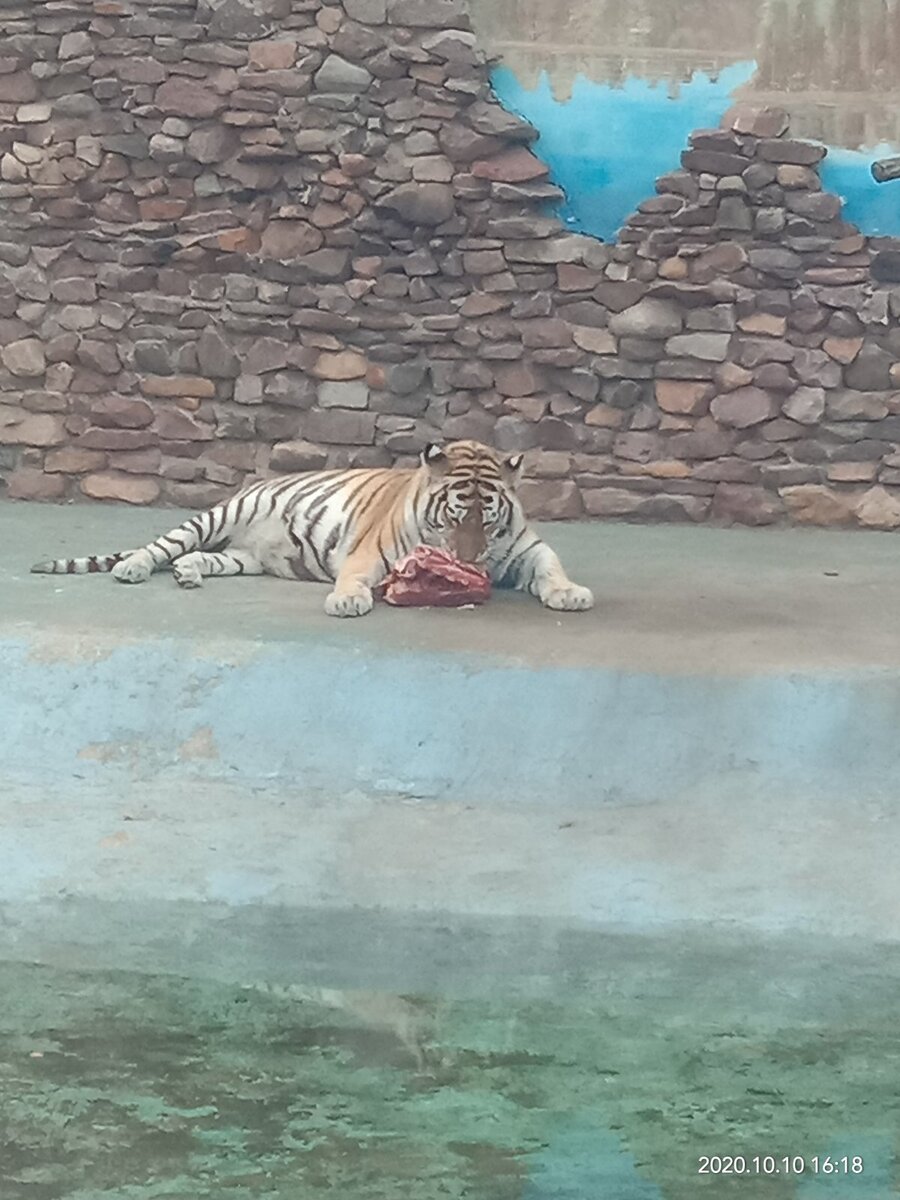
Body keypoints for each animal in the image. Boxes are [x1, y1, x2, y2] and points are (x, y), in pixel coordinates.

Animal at [31, 439, 600, 619]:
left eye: (489, 518)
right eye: (455, 518)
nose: (468, 561)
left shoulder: (527, 548)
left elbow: (551, 568)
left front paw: (570, 593)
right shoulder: (370, 553)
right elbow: (354, 576)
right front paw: (347, 601)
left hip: (242, 557)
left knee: (197, 558)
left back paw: (188, 576)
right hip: (214, 517)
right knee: (161, 546)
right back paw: (132, 567)